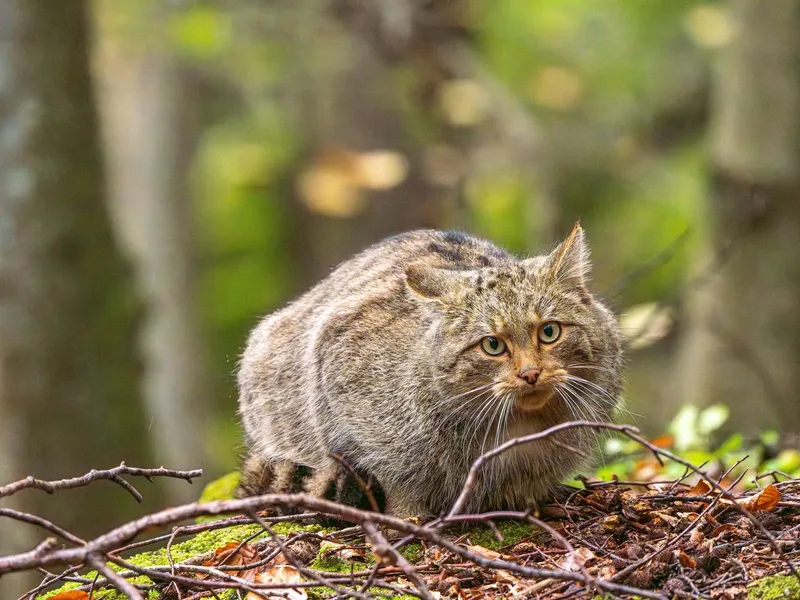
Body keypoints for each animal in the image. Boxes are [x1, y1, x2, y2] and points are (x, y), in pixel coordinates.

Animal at [234, 225, 620, 516]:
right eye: (492, 345)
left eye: (549, 332)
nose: (530, 373)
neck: (519, 425)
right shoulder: (335, 356)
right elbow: (393, 471)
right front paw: (407, 515)